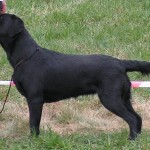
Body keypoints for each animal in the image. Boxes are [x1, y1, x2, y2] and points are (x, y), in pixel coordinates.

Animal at [0, 13, 150, 139]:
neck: (25, 56)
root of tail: (120, 62)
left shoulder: (35, 99)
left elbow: (33, 123)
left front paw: (33, 141)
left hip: (110, 99)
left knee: (131, 119)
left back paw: (131, 140)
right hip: (124, 98)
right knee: (138, 117)